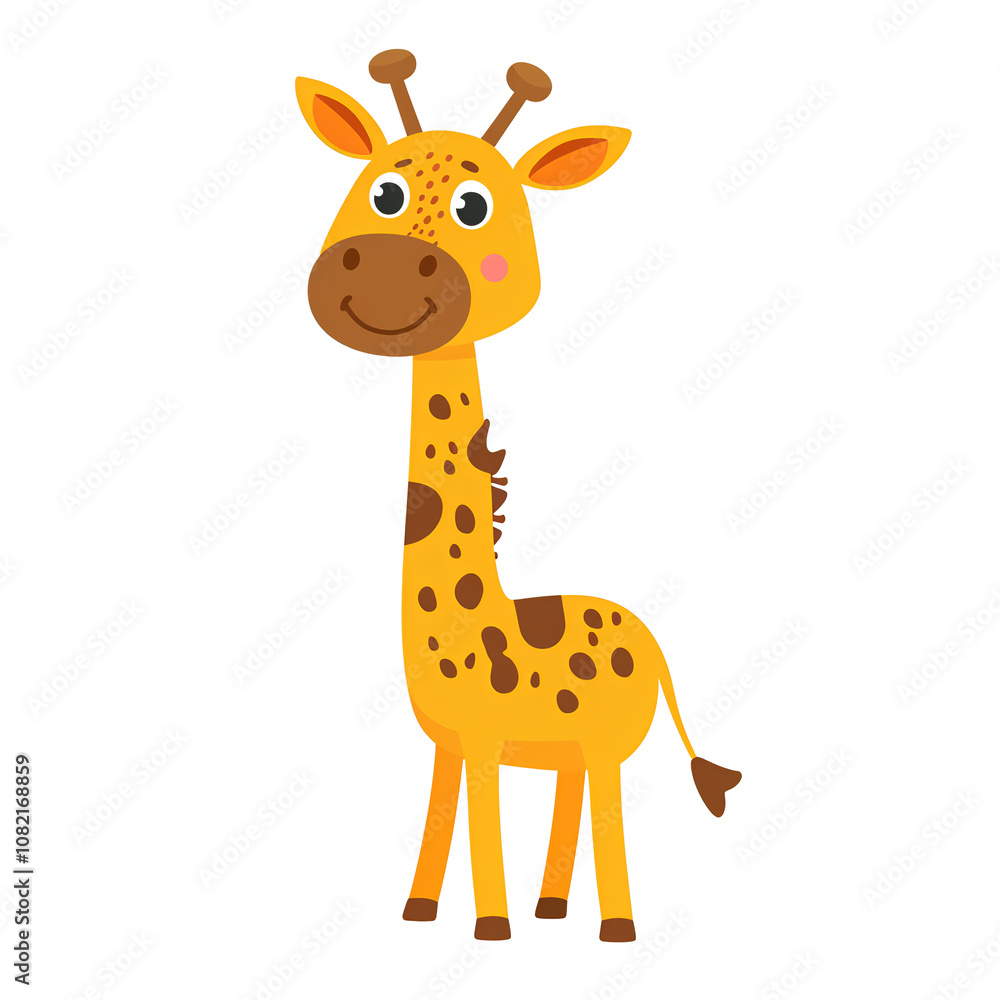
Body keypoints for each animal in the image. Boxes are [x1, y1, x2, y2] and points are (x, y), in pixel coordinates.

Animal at [295, 50, 742, 942]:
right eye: (382, 192)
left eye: (476, 206)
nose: (384, 269)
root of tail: (652, 640)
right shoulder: (449, 743)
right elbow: (439, 818)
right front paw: (420, 912)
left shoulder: (487, 739)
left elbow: (483, 821)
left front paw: (490, 927)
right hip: (568, 749)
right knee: (572, 800)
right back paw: (553, 907)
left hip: (604, 741)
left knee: (606, 803)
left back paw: (610, 926)